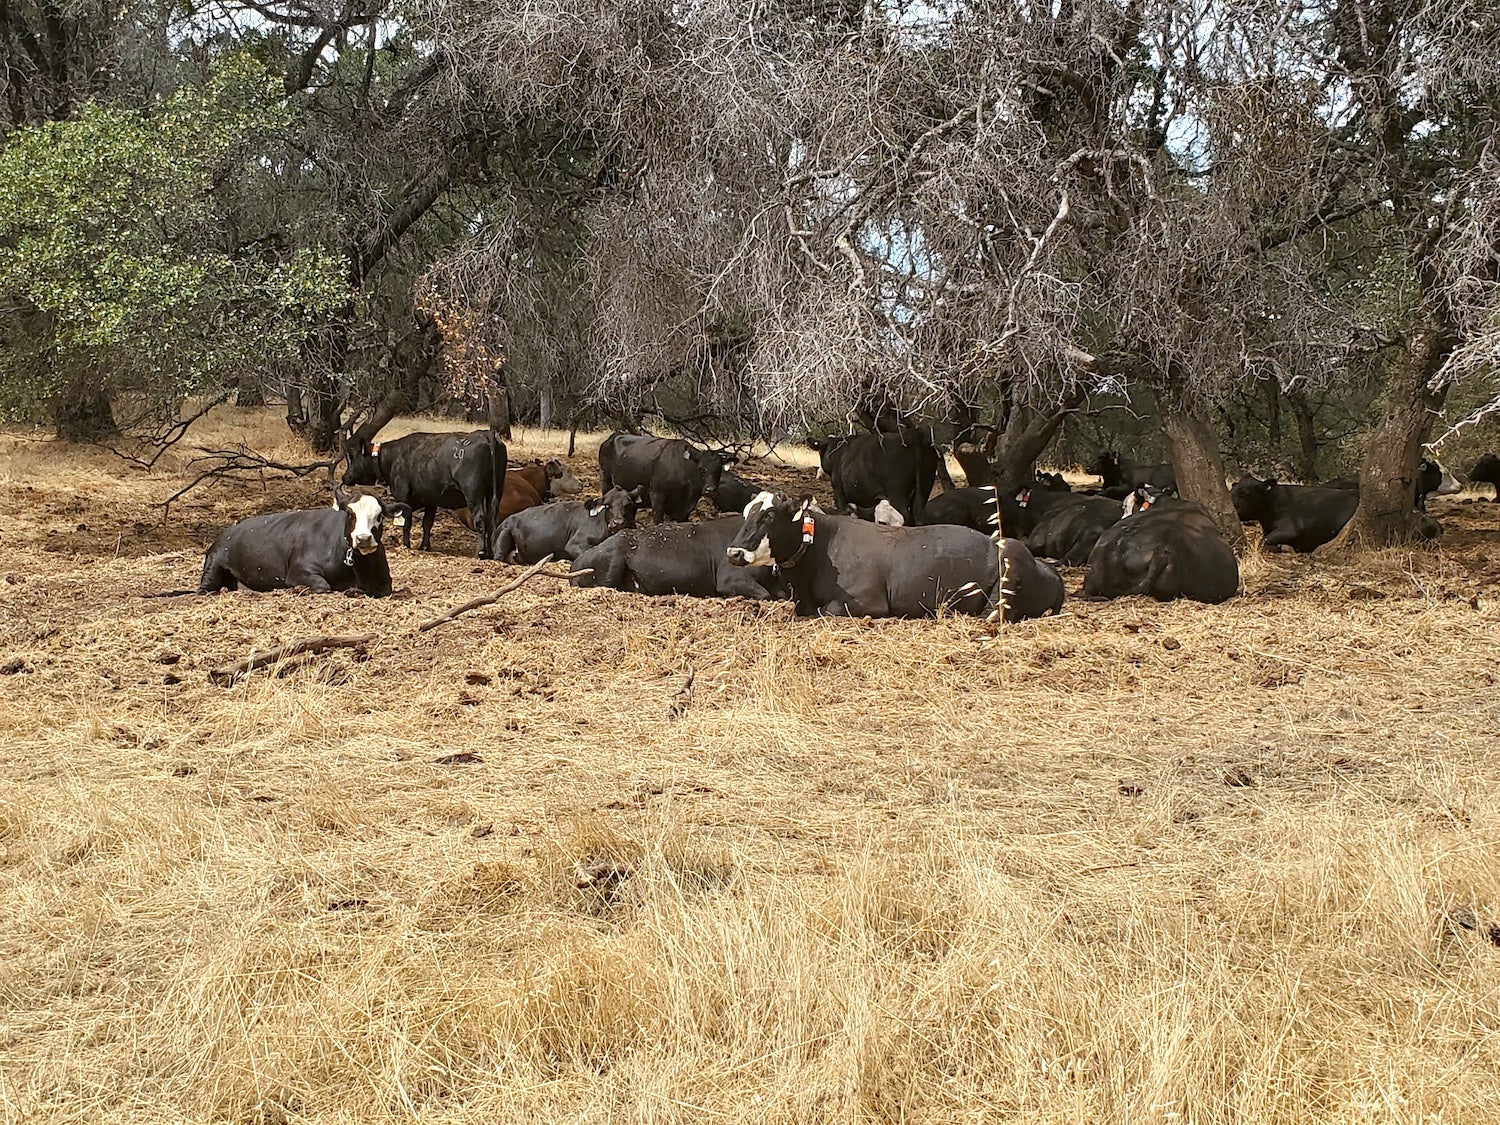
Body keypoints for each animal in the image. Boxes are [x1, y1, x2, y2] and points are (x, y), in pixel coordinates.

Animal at [197, 490, 410, 597]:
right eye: (350, 514)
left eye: (379, 516)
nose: (363, 538)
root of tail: (227, 532)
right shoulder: (298, 572)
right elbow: (323, 586)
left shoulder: (385, 581)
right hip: (213, 566)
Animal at [342, 429, 506, 558]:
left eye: (353, 458)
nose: (345, 477)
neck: (393, 457)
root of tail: (486, 435)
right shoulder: (431, 500)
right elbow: (427, 523)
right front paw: (425, 546)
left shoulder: (403, 497)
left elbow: (406, 523)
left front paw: (406, 545)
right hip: (495, 491)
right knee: (491, 519)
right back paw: (490, 552)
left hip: (473, 494)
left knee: (480, 519)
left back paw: (480, 552)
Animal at [597, 433, 735, 523]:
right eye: (701, 468)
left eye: (719, 469)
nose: (710, 490)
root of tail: (611, 438)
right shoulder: (657, 495)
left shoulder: (686, 508)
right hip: (606, 483)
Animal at [726, 492, 1064, 622]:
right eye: (745, 513)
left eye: (769, 516)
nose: (734, 552)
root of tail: (1049, 572)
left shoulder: (865, 602)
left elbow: (827, 610)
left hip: (1004, 585)